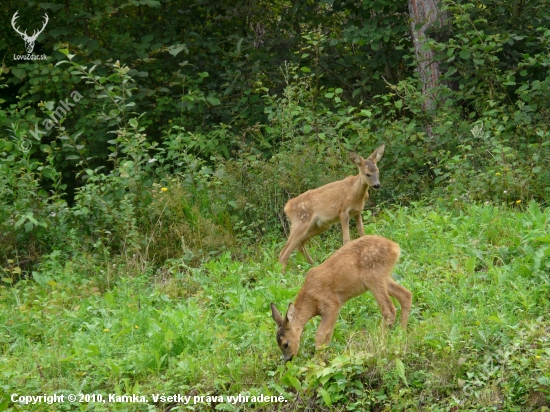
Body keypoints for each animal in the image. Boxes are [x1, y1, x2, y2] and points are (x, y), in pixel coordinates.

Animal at [272, 235, 414, 360]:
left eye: (285, 344)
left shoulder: (331, 304)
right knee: (406, 295)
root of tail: (395, 247)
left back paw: (382, 342)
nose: (288, 359)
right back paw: (401, 334)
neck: (312, 302)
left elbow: (320, 334)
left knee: (389, 310)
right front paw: (325, 357)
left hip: (374, 276)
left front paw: (317, 361)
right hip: (383, 277)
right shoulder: (335, 309)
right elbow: (328, 334)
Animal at [278, 145, 386, 274]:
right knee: (284, 252)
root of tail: (287, 207)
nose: (377, 185)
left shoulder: (357, 212)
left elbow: (362, 234)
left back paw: (313, 265)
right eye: (367, 174)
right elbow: (346, 240)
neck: (355, 194)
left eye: (378, 171)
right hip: (301, 221)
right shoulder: (343, 212)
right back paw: (282, 275)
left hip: (321, 225)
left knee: (299, 243)